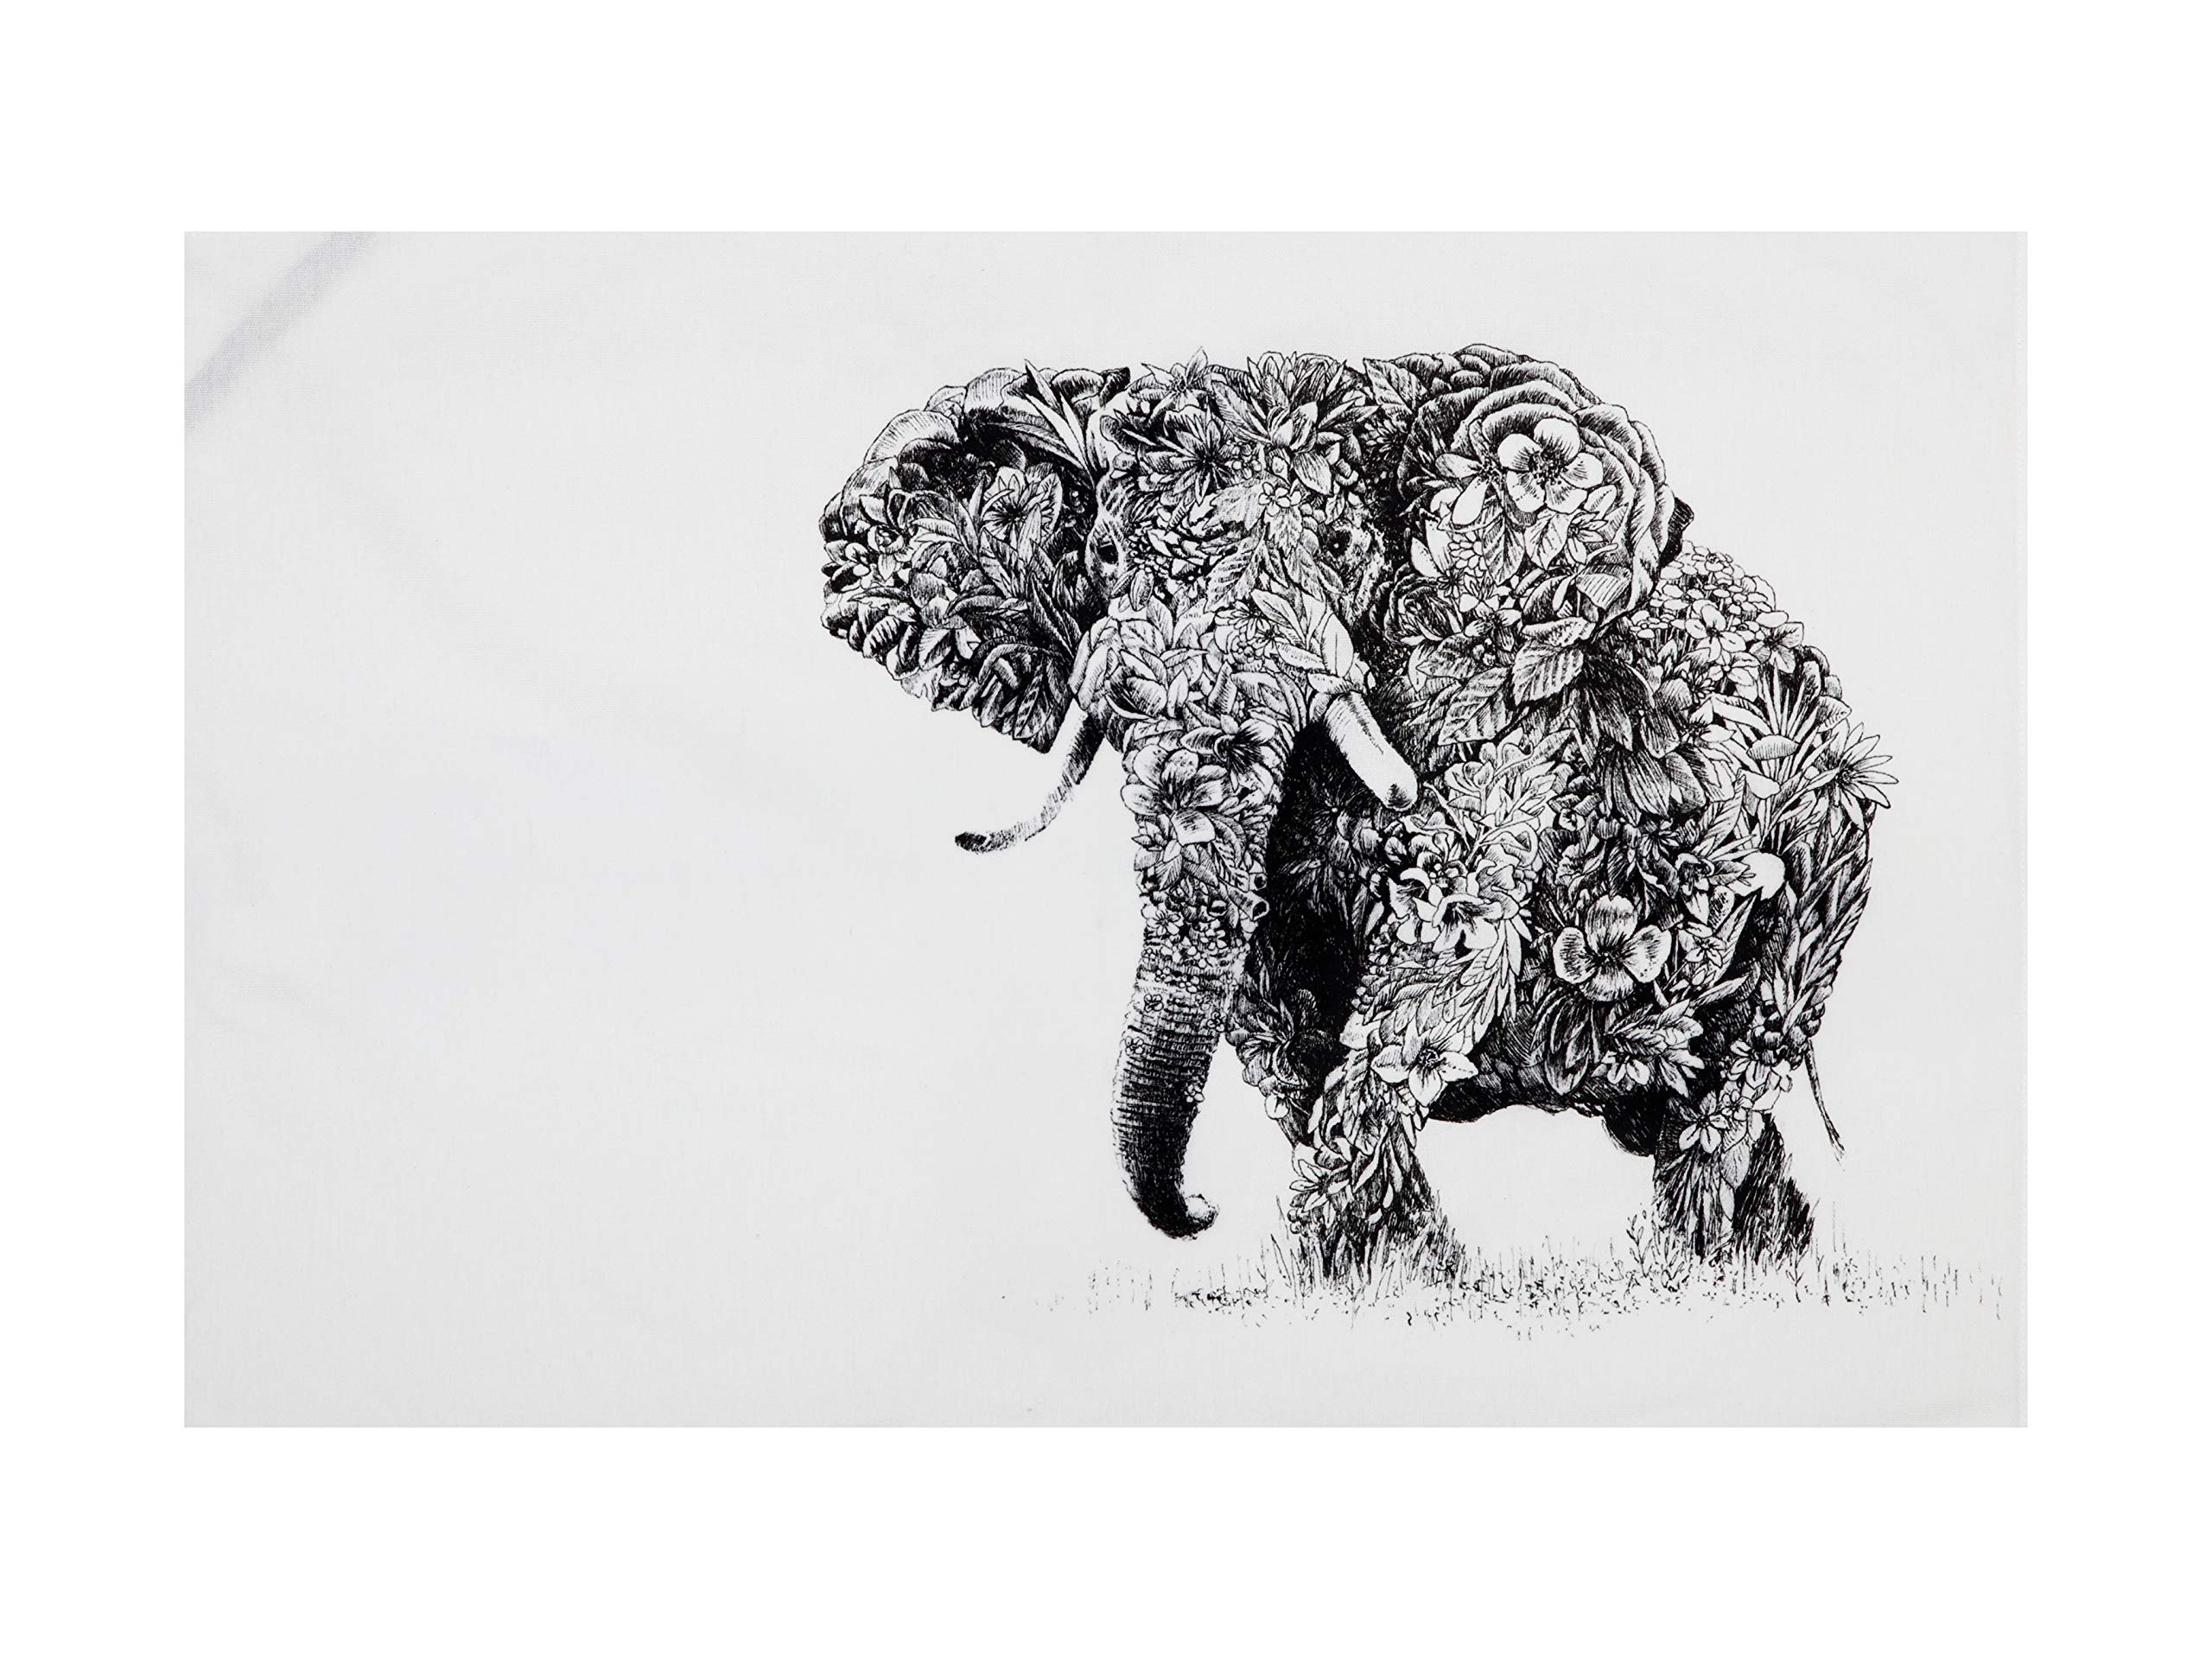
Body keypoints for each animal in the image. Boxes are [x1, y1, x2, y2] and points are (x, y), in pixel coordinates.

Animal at [817, 345, 1889, 1280]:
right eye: (1108, 554)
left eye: (1337, 546)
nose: (1200, 1208)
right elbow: (1274, 1008)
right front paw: (1404, 1275)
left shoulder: (1512, 746)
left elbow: (1445, 964)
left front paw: (1383, 1282)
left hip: (1821, 874)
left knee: (1728, 1088)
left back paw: (1691, 1267)